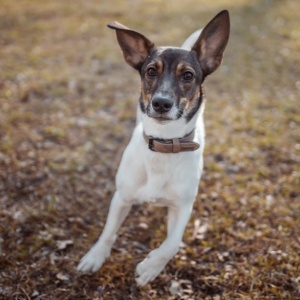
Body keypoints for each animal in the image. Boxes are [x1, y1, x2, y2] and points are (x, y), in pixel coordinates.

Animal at [77, 9, 230, 286]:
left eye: (188, 75)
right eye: (150, 71)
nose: (161, 103)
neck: (163, 144)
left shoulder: (183, 206)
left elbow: (172, 244)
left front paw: (150, 268)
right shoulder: (122, 197)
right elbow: (108, 232)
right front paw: (95, 256)